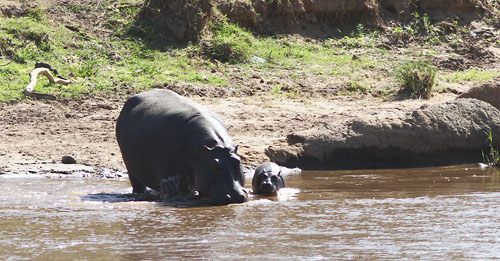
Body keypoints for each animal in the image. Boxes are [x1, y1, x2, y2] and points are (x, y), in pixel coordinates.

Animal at [115, 88, 248, 204]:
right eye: (214, 165)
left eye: (238, 161)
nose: (235, 196)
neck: (214, 149)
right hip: (130, 168)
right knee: (136, 183)